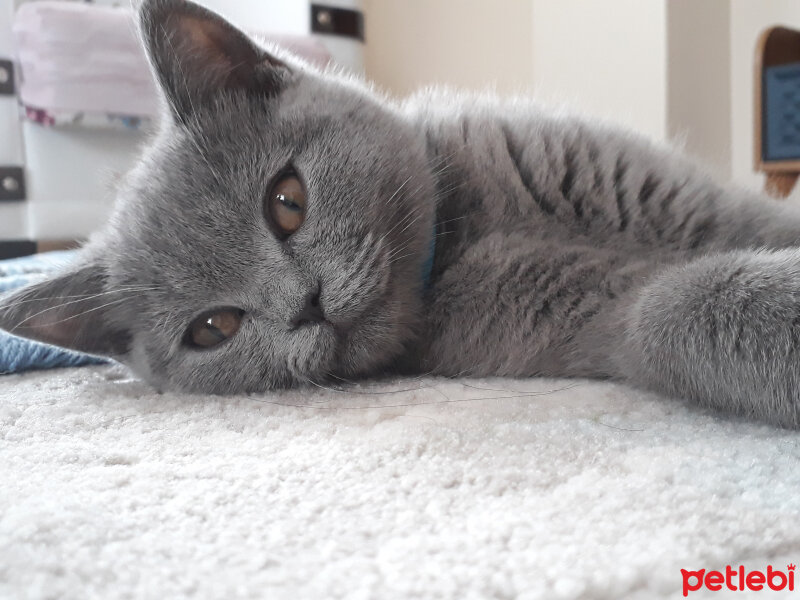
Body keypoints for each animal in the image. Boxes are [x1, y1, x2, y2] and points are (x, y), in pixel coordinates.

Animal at [1, 0, 800, 426]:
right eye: (212, 329)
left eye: (286, 202)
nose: (305, 304)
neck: (465, 228)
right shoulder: (602, 313)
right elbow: (681, 305)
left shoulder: (694, 199)